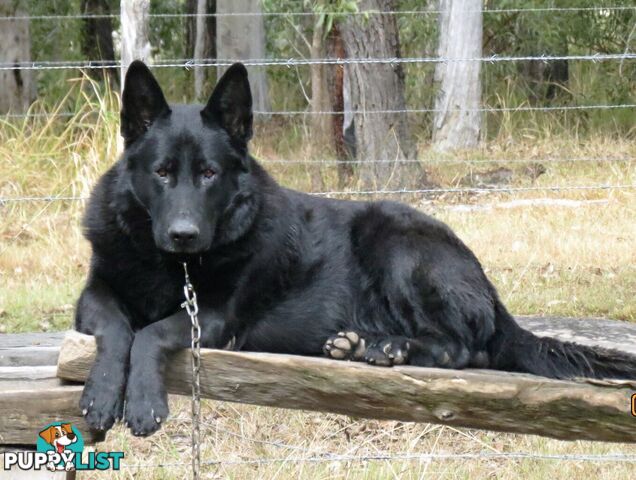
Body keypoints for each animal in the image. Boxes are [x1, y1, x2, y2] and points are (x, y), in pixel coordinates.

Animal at [76, 59, 636, 436]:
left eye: (210, 173)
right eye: (162, 172)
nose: (184, 235)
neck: (173, 266)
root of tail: (490, 294)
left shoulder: (211, 318)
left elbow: (151, 332)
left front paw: (143, 400)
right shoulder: (93, 298)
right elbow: (119, 328)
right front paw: (103, 393)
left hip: (394, 240)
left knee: (466, 347)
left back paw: (388, 348)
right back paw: (359, 344)